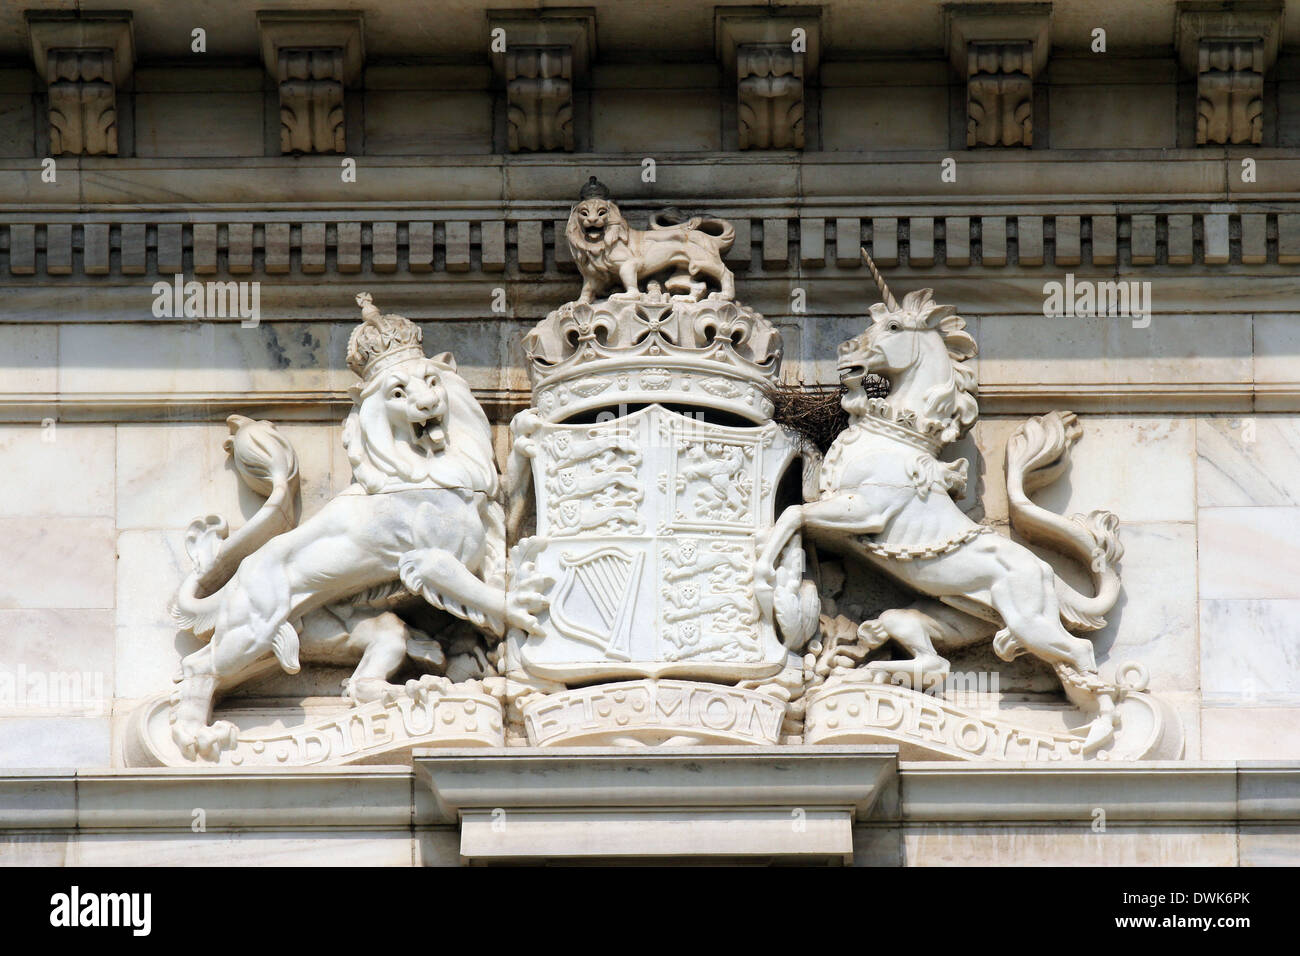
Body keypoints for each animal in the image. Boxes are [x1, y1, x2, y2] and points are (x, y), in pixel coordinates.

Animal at [163, 295, 548, 759]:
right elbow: (483, 592)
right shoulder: (430, 560)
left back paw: (415, 688)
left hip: (340, 632)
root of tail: (237, 578)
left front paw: (528, 428)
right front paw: (522, 607)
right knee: (197, 666)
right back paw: (196, 736)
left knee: (361, 679)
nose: (426, 407)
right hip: (250, 630)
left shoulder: (489, 511)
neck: (428, 466)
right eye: (397, 392)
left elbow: (511, 491)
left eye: (431, 381)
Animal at [566, 175, 738, 303]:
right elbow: (587, 289)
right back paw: (687, 299)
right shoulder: (591, 275)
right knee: (699, 285)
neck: (598, 244)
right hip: (681, 272)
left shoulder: (629, 264)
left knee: (726, 273)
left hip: (704, 260)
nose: (593, 220)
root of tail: (710, 238)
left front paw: (627, 296)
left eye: (601, 212)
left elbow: (631, 286)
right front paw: (578, 304)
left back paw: (724, 296)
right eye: (584, 213)